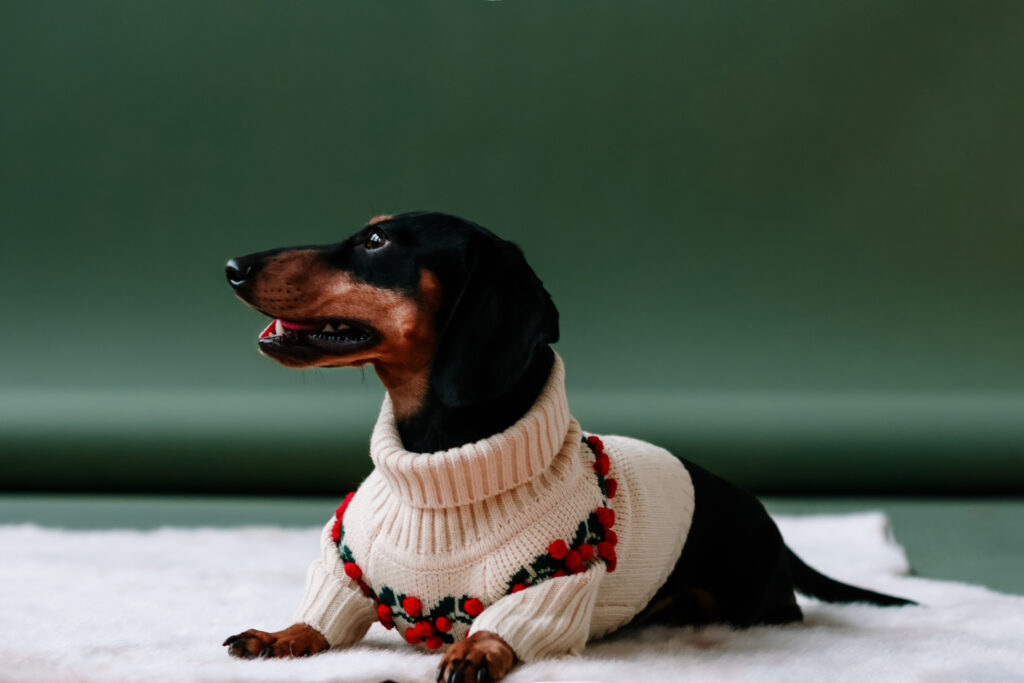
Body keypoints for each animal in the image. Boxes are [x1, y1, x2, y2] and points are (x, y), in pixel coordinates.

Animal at [224, 210, 913, 679]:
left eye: (377, 241)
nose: (232, 267)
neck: (442, 470)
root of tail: (767, 519)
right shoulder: (343, 569)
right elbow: (324, 612)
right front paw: (283, 634)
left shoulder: (555, 583)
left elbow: (510, 622)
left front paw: (477, 647)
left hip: (755, 603)